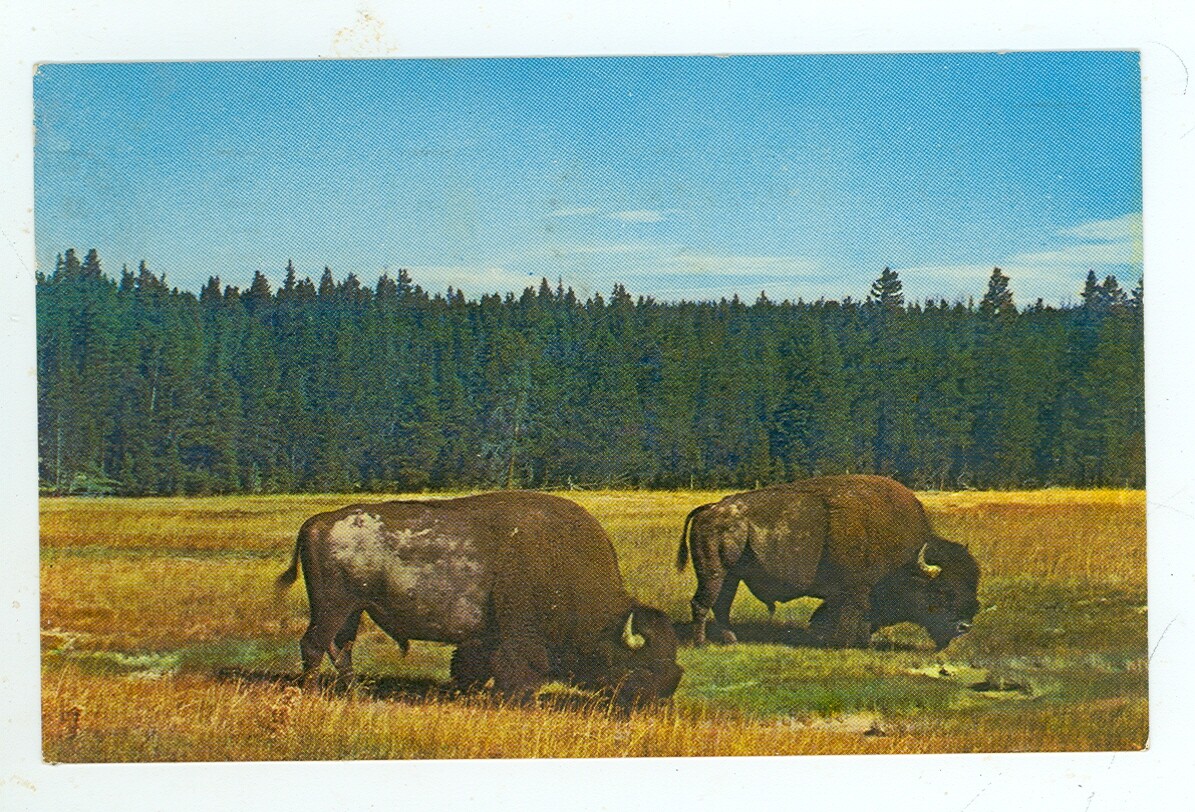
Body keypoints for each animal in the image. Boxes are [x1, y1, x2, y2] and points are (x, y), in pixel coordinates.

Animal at [276, 491, 682, 707]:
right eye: (646, 666)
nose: (660, 698)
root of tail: (316, 522)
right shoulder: (519, 635)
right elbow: (518, 667)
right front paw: (518, 700)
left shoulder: (484, 638)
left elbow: (473, 665)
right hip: (333, 606)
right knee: (314, 644)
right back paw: (312, 692)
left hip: (352, 609)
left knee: (339, 647)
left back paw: (355, 691)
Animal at [676, 475, 980, 650]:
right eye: (943, 591)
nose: (964, 627)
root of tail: (709, 509)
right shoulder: (854, 593)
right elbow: (852, 617)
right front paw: (853, 643)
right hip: (714, 573)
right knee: (702, 603)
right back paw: (700, 644)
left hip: (732, 576)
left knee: (721, 605)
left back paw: (731, 640)